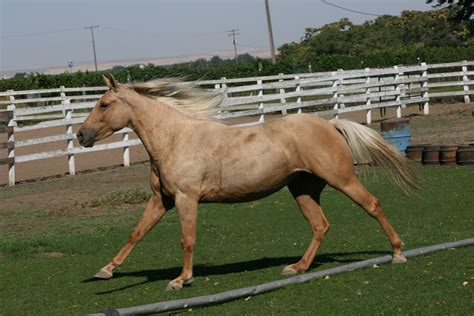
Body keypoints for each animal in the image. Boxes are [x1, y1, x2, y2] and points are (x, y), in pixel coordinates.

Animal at [77, 75, 418, 290]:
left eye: (104, 104)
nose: (81, 135)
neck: (174, 138)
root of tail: (331, 124)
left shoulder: (187, 199)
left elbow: (187, 239)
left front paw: (181, 280)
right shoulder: (162, 200)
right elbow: (136, 233)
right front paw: (106, 271)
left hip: (341, 179)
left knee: (372, 205)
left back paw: (398, 253)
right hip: (302, 189)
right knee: (320, 225)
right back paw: (298, 267)